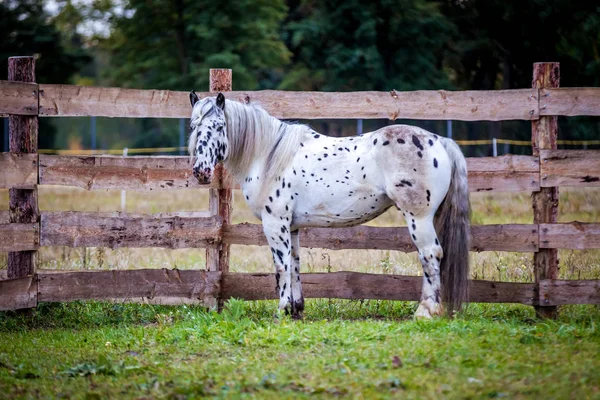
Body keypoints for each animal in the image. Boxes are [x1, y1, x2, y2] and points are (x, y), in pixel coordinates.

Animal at [190, 92, 472, 320]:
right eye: (194, 126)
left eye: (219, 126)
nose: (201, 172)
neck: (268, 155)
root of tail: (439, 140)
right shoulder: (292, 227)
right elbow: (294, 263)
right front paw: (296, 309)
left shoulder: (275, 224)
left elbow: (280, 266)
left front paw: (281, 311)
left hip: (418, 217)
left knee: (430, 255)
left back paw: (425, 312)